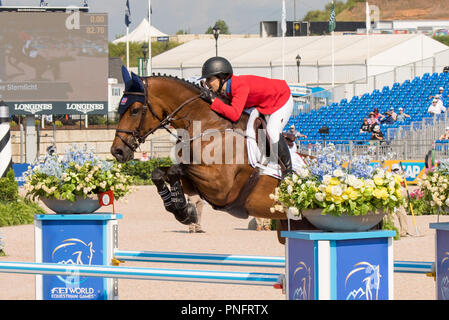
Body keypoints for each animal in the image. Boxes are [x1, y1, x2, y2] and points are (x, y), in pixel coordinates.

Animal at [110, 72, 316, 242]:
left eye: (135, 110)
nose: (117, 151)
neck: (209, 126)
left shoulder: (220, 186)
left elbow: (177, 170)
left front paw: (184, 211)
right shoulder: (196, 184)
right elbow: (160, 173)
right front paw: (183, 211)